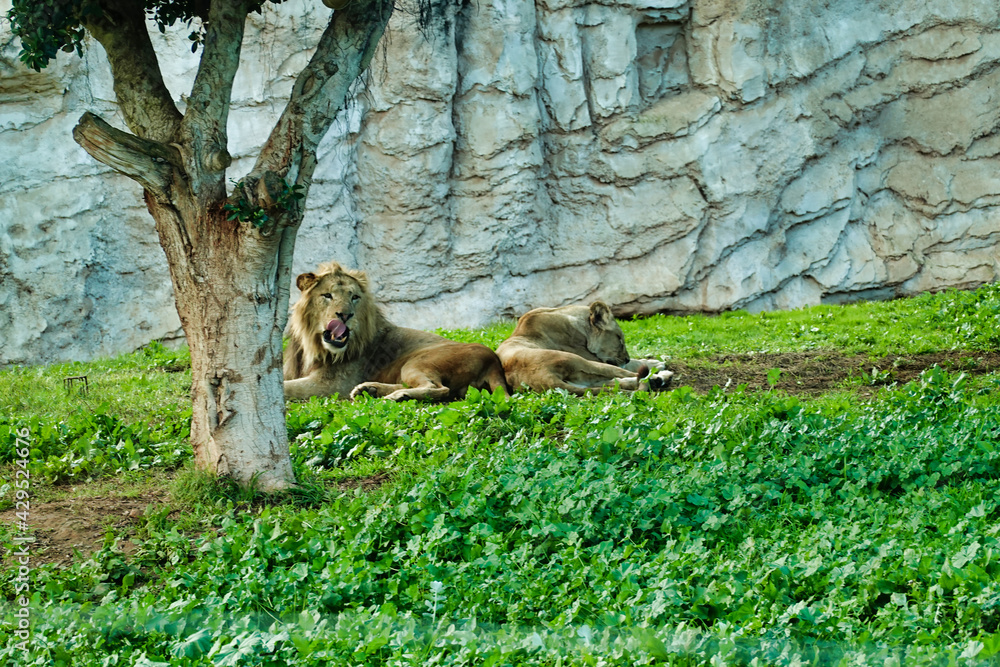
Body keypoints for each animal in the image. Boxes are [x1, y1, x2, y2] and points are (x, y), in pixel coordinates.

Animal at [286, 262, 512, 402]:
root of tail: (493, 360)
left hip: (417, 362)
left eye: (354, 297)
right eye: (327, 295)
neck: (312, 345)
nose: (345, 315)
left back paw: (395, 396)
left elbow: (287, 387)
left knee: (439, 389)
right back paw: (369, 389)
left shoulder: (332, 385)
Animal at [494, 302, 672, 396]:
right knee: (633, 377)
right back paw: (662, 376)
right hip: (582, 361)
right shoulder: (591, 356)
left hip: (582, 379)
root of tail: (544, 378)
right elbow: (632, 364)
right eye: (619, 339)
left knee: (613, 384)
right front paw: (656, 362)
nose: (626, 357)